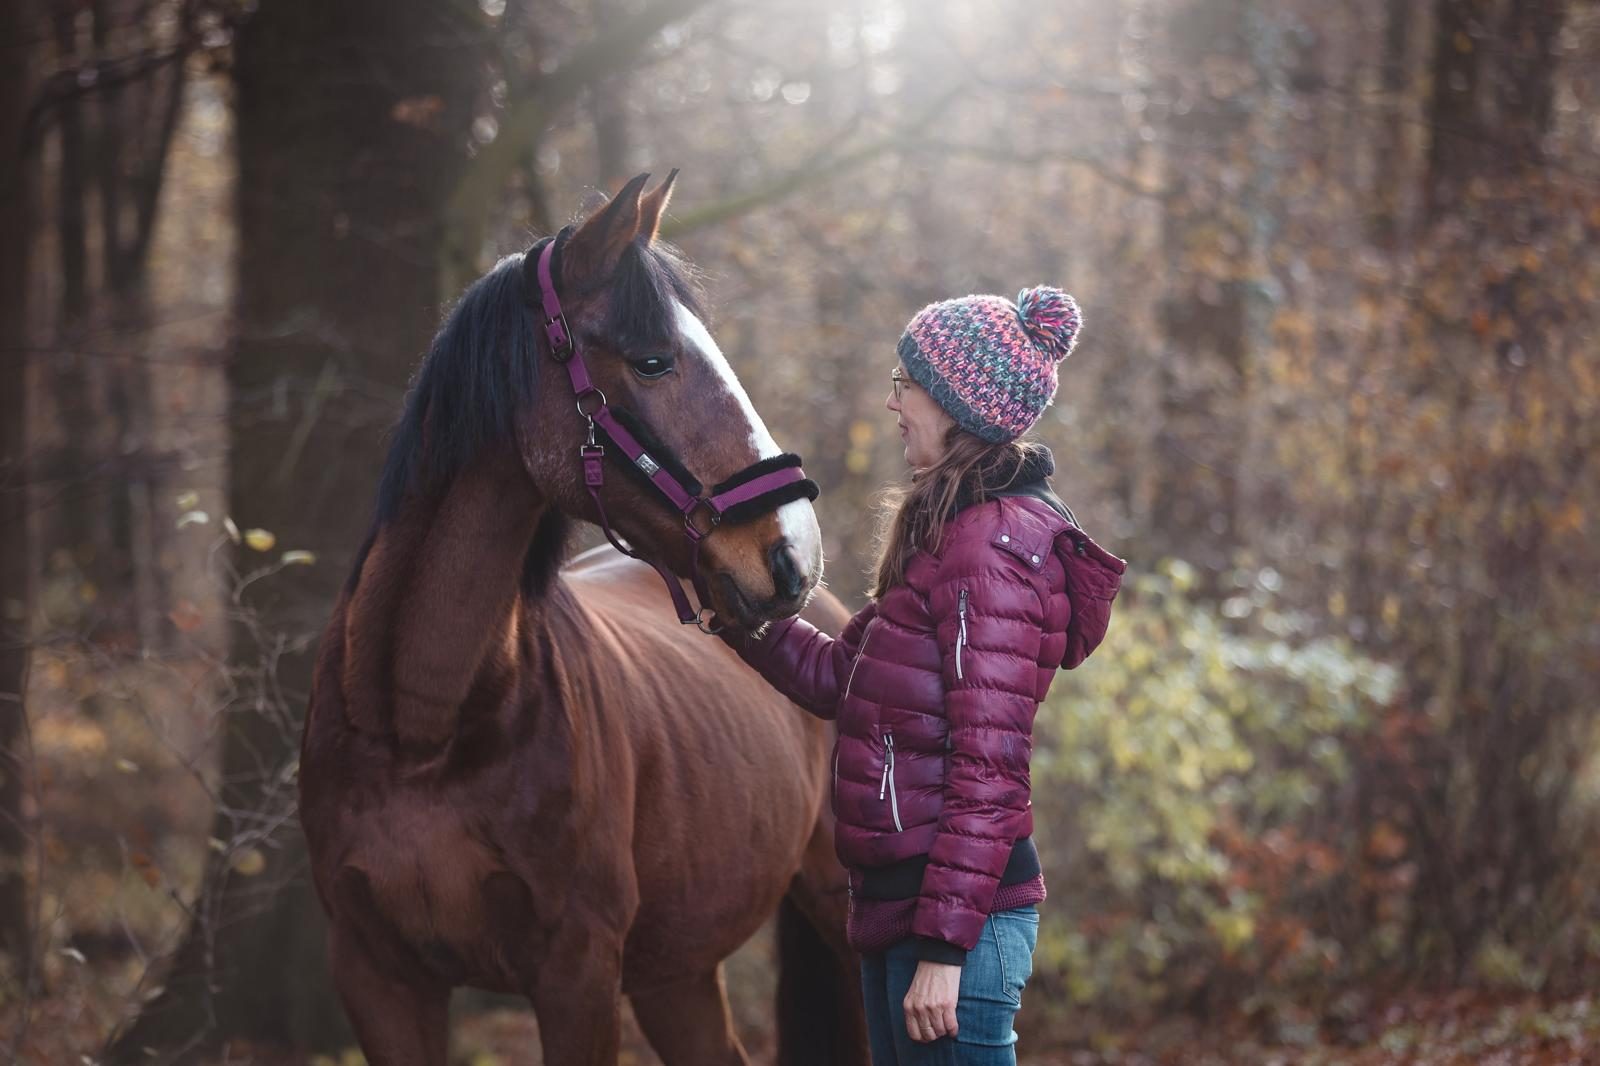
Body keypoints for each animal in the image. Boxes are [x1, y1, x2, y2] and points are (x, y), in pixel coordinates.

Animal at [297, 172, 868, 1065]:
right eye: (652, 360)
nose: (792, 556)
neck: (420, 728)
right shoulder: (377, 978)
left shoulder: (577, 974)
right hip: (676, 971)